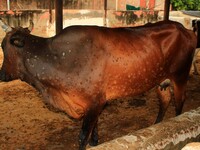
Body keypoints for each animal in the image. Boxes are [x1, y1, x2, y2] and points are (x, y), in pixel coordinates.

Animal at [0, 19, 197, 150]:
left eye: (2, 46)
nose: (1, 74)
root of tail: (184, 29)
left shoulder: (94, 101)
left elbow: (82, 136)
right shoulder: (93, 103)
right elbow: (94, 126)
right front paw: (95, 141)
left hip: (180, 76)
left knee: (179, 102)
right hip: (161, 81)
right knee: (164, 100)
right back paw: (157, 125)